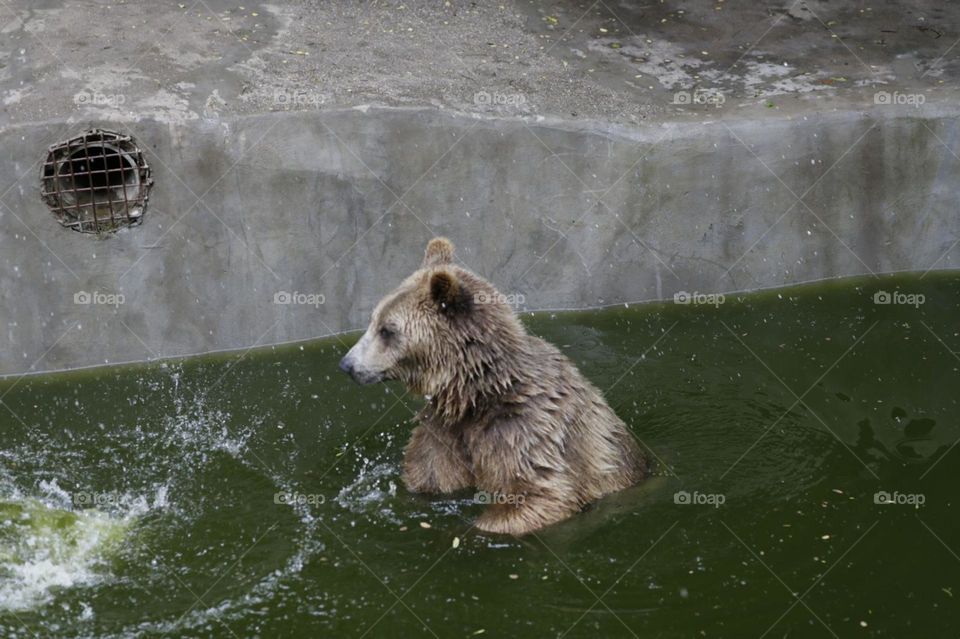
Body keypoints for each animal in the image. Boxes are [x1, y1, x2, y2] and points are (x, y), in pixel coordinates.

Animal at [339, 237, 647, 535]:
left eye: (387, 330)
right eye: (373, 320)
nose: (347, 364)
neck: (474, 394)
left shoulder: (522, 429)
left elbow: (540, 493)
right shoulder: (443, 433)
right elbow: (429, 475)